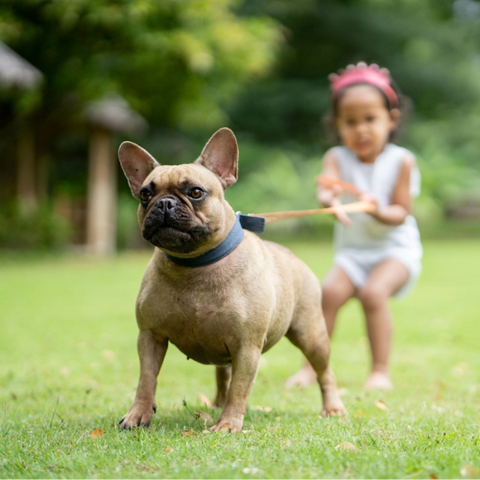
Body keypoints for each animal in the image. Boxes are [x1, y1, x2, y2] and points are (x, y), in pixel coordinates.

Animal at [118, 126, 346, 432]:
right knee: (222, 375)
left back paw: (332, 407)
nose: (164, 203)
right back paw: (215, 403)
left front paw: (228, 424)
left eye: (196, 192)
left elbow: (240, 388)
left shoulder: (247, 346)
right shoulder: (150, 337)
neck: (195, 264)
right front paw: (138, 414)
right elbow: (146, 380)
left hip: (312, 335)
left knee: (324, 372)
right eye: (145, 194)